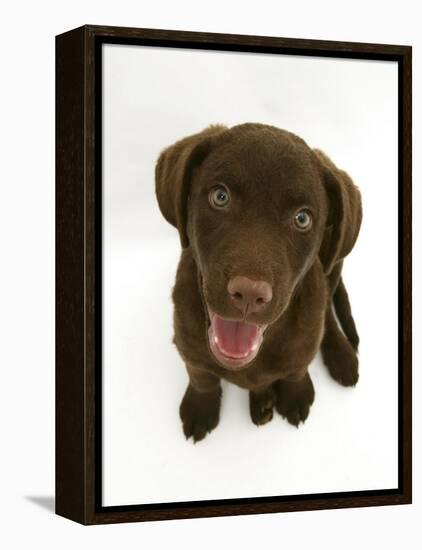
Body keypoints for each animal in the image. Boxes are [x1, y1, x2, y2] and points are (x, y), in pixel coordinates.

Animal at [155, 123, 362, 442]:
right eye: (220, 197)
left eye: (303, 219)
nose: (249, 294)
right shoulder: (186, 341)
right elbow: (201, 375)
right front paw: (200, 408)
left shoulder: (302, 344)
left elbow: (296, 368)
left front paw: (296, 394)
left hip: (335, 261)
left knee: (326, 307)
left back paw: (341, 355)